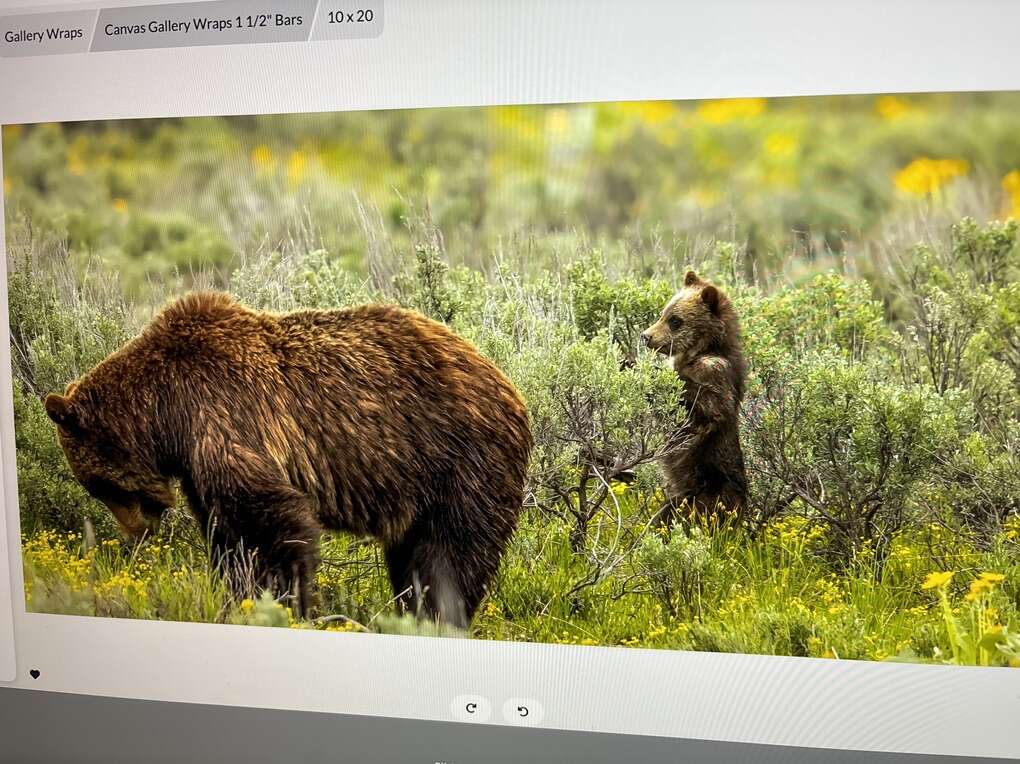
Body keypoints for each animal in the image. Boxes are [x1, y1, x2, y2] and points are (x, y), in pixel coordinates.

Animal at [44, 292, 533, 629]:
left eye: (101, 486)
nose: (136, 532)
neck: (165, 413)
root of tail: (511, 387)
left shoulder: (224, 414)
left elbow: (267, 520)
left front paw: (280, 600)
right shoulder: (197, 467)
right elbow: (227, 534)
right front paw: (239, 592)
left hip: (458, 459)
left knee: (449, 553)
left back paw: (438, 616)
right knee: (413, 556)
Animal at [640, 271, 748, 524]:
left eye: (675, 320)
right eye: (663, 313)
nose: (645, 336)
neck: (703, 349)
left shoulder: (715, 373)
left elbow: (707, 405)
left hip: (705, 492)